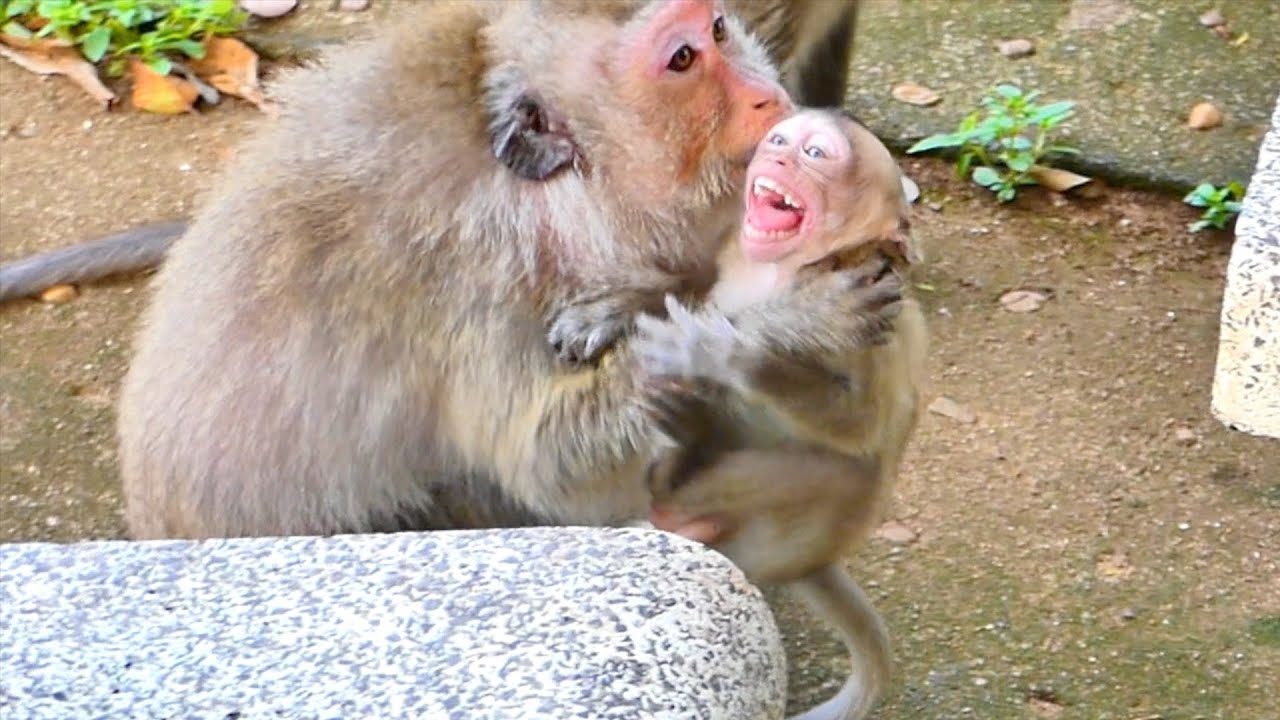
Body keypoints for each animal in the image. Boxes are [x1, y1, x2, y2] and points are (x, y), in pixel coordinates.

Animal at [113, 0, 902, 540]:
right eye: (682, 61)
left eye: (716, 30)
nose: (768, 97)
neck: (562, 195)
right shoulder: (474, 274)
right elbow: (547, 460)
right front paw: (787, 320)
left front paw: (633, 301)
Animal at [630, 108, 930, 720]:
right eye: (782, 141)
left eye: (814, 154)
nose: (777, 155)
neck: (787, 271)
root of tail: (812, 562)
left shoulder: (874, 301)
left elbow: (861, 423)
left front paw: (727, 349)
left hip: (788, 539)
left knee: (845, 471)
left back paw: (683, 467)